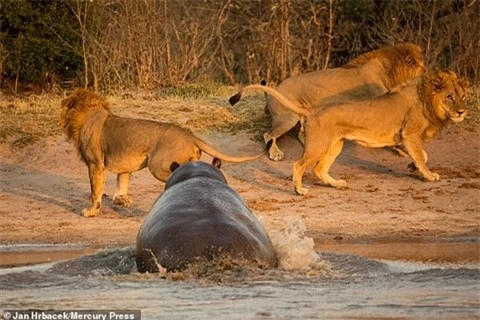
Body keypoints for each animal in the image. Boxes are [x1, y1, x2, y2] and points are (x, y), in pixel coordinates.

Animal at [60, 89, 268, 216]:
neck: (88, 114)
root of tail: (189, 134)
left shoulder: (95, 164)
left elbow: (95, 191)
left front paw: (91, 211)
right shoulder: (124, 167)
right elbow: (121, 185)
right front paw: (122, 200)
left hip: (157, 165)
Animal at [229, 70, 468, 195]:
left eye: (462, 95)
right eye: (449, 97)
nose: (462, 111)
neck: (426, 98)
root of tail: (312, 110)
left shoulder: (405, 138)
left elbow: (421, 155)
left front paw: (412, 167)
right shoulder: (410, 134)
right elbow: (420, 155)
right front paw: (428, 175)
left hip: (336, 145)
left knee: (319, 169)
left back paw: (336, 183)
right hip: (317, 145)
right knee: (298, 164)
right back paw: (300, 190)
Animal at [231, 42, 426, 161]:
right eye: (423, 69)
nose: (428, 77)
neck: (389, 72)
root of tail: (274, 91)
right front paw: (403, 150)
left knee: (299, 134)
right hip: (288, 118)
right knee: (268, 134)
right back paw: (275, 153)